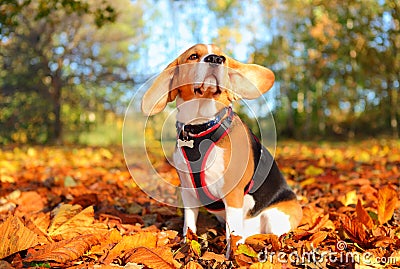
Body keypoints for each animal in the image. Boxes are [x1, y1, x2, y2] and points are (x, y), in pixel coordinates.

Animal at [142, 43, 302, 249]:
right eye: (193, 56)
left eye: (223, 58)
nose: (215, 59)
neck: (202, 128)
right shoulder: (188, 193)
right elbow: (189, 225)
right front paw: (187, 245)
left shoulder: (232, 195)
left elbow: (232, 235)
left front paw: (232, 253)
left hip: (275, 218)